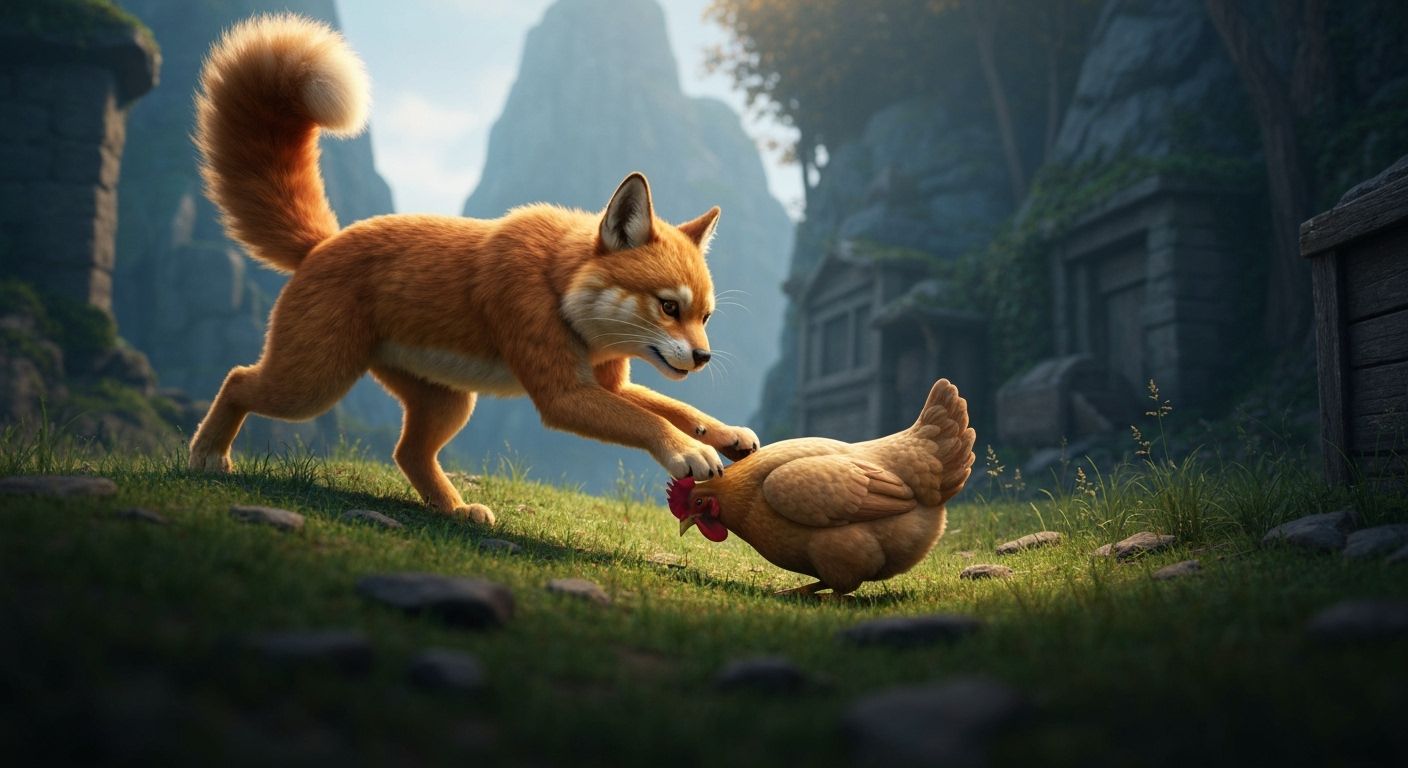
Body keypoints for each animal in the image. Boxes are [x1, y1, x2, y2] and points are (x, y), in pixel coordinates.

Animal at [187, 14, 761, 525]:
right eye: (668, 306)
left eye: (705, 317)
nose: (704, 358)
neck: (557, 283)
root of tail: (322, 243)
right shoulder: (563, 395)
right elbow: (648, 418)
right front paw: (688, 452)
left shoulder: (606, 383)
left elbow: (673, 408)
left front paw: (726, 434)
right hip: (312, 383)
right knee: (237, 379)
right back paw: (209, 455)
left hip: (447, 402)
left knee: (407, 453)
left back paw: (456, 510)